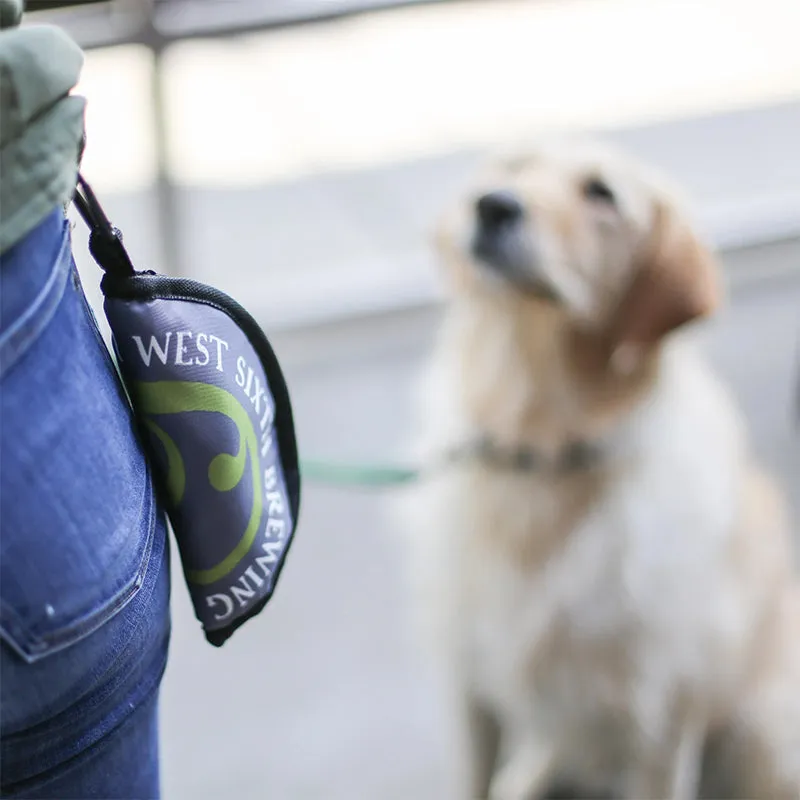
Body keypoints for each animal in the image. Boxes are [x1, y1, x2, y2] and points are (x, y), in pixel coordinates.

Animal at [396, 139, 796, 800]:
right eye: (515, 166)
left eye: (602, 194)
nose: (493, 206)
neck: (536, 453)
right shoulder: (469, 679)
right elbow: (473, 777)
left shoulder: (657, 723)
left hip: (758, 734)